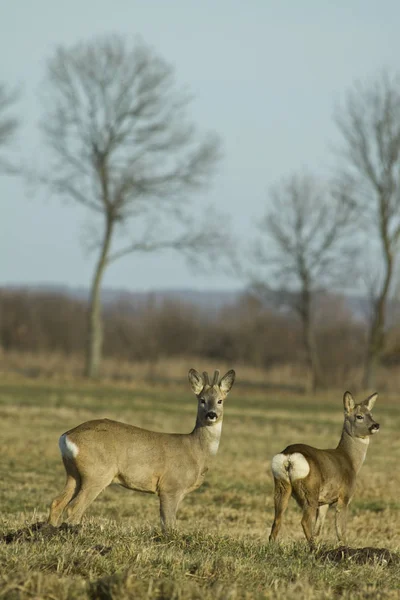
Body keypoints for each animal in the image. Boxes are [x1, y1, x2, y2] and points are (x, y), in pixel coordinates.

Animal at [47, 368, 234, 532]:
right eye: (202, 400)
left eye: (220, 400)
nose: (211, 414)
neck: (196, 451)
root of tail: (67, 436)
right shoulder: (171, 486)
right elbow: (169, 523)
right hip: (97, 473)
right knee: (74, 507)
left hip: (73, 473)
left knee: (57, 502)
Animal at [268, 392, 378, 548]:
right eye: (359, 416)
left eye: (371, 414)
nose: (376, 425)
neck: (350, 460)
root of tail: (289, 456)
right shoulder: (344, 496)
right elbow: (340, 531)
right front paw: (344, 549)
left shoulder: (324, 502)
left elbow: (318, 529)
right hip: (310, 490)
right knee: (304, 521)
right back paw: (313, 550)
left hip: (281, 485)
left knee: (277, 519)